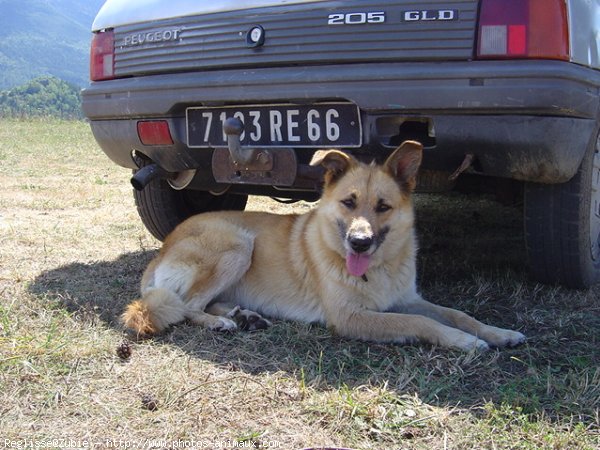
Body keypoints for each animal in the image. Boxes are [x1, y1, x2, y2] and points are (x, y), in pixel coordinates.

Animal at [122, 141, 524, 352]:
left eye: (383, 207)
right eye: (348, 202)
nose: (359, 244)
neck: (378, 270)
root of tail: (162, 251)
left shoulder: (407, 298)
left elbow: (458, 314)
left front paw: (497, 332)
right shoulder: (351, 318)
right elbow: (420, 322)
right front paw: (463, 341)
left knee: (204, 301)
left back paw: (242, 314)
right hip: (238, 245)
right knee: (188, 305)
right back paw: (219, 321)